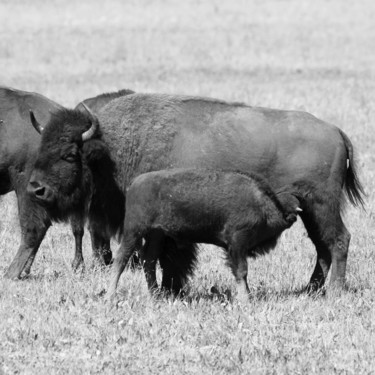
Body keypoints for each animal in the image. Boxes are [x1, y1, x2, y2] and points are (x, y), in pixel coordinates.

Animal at [108, 169, 302, 302]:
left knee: (149, 261)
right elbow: (241, 271)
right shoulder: (237, 244)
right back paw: (111, 296)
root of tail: (135, 182)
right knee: (121, 259)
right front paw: (246, 299)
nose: (293, 215)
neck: (262, 203)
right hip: (134, 231)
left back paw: (155, 295)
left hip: (156, 235)